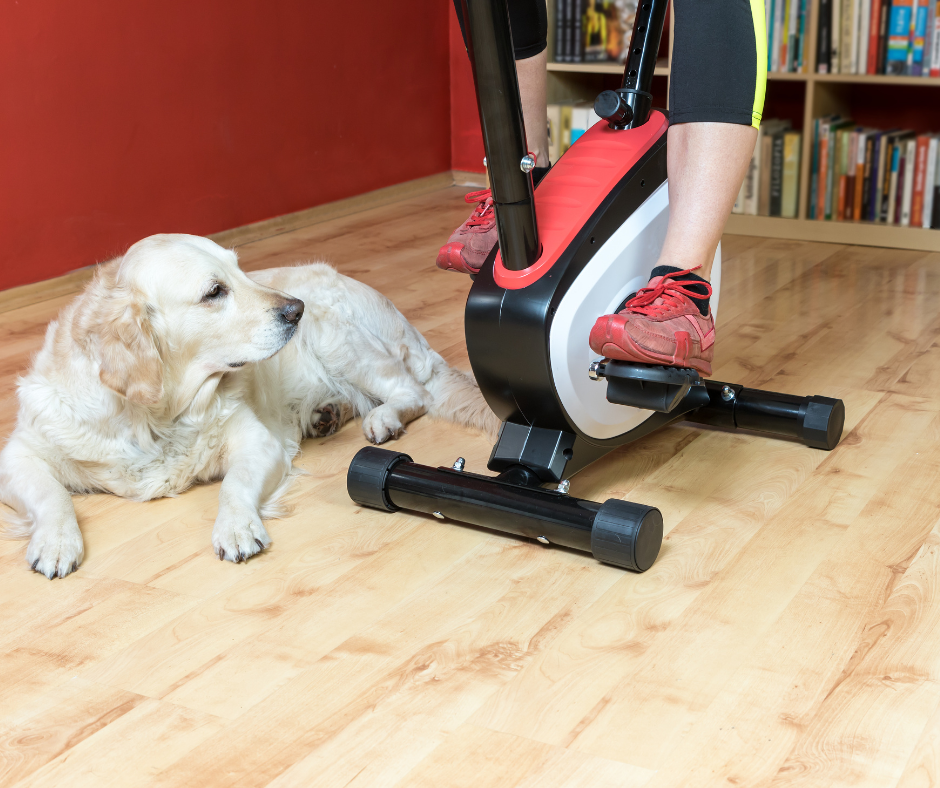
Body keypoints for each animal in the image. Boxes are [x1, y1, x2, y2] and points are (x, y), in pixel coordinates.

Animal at [0, 234, 500, 580]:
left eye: (241, 270)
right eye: (214, 291)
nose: (295, 310)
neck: (157, 416)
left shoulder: (257, 441)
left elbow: (233, 486)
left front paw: (236, 528)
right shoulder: (20, 452)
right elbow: (51, 494)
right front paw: (56, 541)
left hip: (337, 336)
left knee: (411, 392)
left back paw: (383, 418)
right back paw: (326, 413)